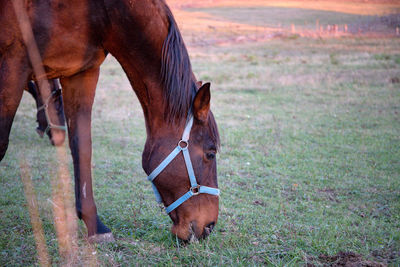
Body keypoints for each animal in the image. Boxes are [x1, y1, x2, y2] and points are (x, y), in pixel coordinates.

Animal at [0, 0, 219, 243]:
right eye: (210, 153)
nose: (210, 226)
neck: (102, 12)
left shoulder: (81, 73)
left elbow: (82, 147)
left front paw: (95, 225)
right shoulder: (14, 63)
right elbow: (1, 144)